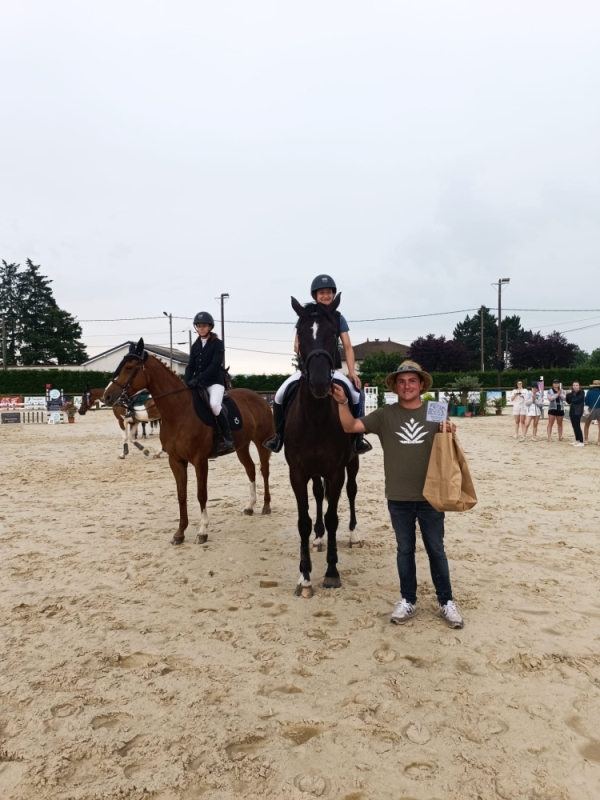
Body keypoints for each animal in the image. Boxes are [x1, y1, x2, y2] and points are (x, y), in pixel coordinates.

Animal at [102, 338, 274, 544]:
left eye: (129, 367)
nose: (107, 396)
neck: (179, 411)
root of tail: (259, 397)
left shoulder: (200, 461)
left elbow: (201, 494)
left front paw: (203, 531)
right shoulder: (176, 461)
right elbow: (181, 495)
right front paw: (180, 533)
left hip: (262, 442)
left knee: (264, 470)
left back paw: (266, 506)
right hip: (242, 446)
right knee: (250, 469)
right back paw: (250, 506)